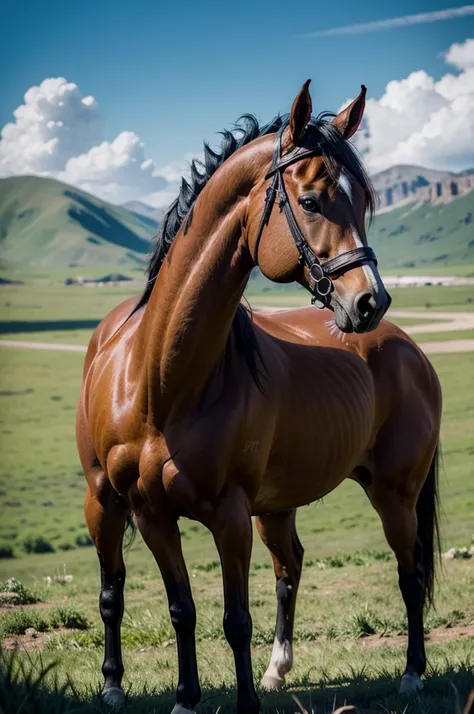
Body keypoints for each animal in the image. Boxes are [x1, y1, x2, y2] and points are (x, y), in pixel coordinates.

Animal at [76, 82, 442, 712]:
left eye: (363, 206)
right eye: (312, 201)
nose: (371, 302)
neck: (163, 383)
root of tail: (410, 350)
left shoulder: (229, 515)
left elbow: (234, 618)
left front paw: (242, 700)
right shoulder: (151, 512)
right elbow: (181, 608)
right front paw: (186, 697)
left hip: (394, 494)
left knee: (409, 573)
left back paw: (412, 673)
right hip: (241, 505)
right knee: (279, 568)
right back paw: (264, 672)